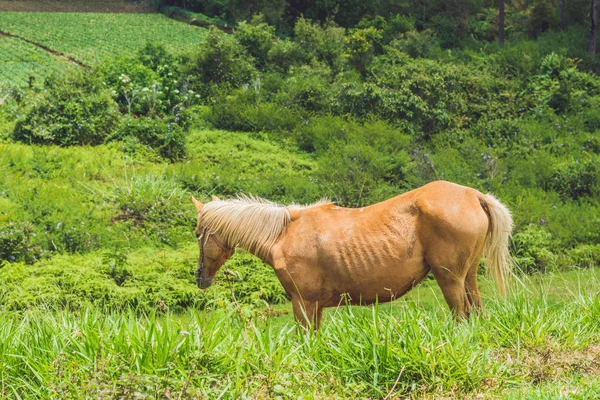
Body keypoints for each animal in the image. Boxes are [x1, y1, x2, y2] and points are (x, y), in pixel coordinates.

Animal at [191, 180, 510, 328]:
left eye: (197, 233)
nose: (200, 277)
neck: (283, 234)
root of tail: (474, 195)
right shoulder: (315, 306)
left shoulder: (302, 302)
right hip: (468, 276)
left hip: (450, 279)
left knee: (462, 316)